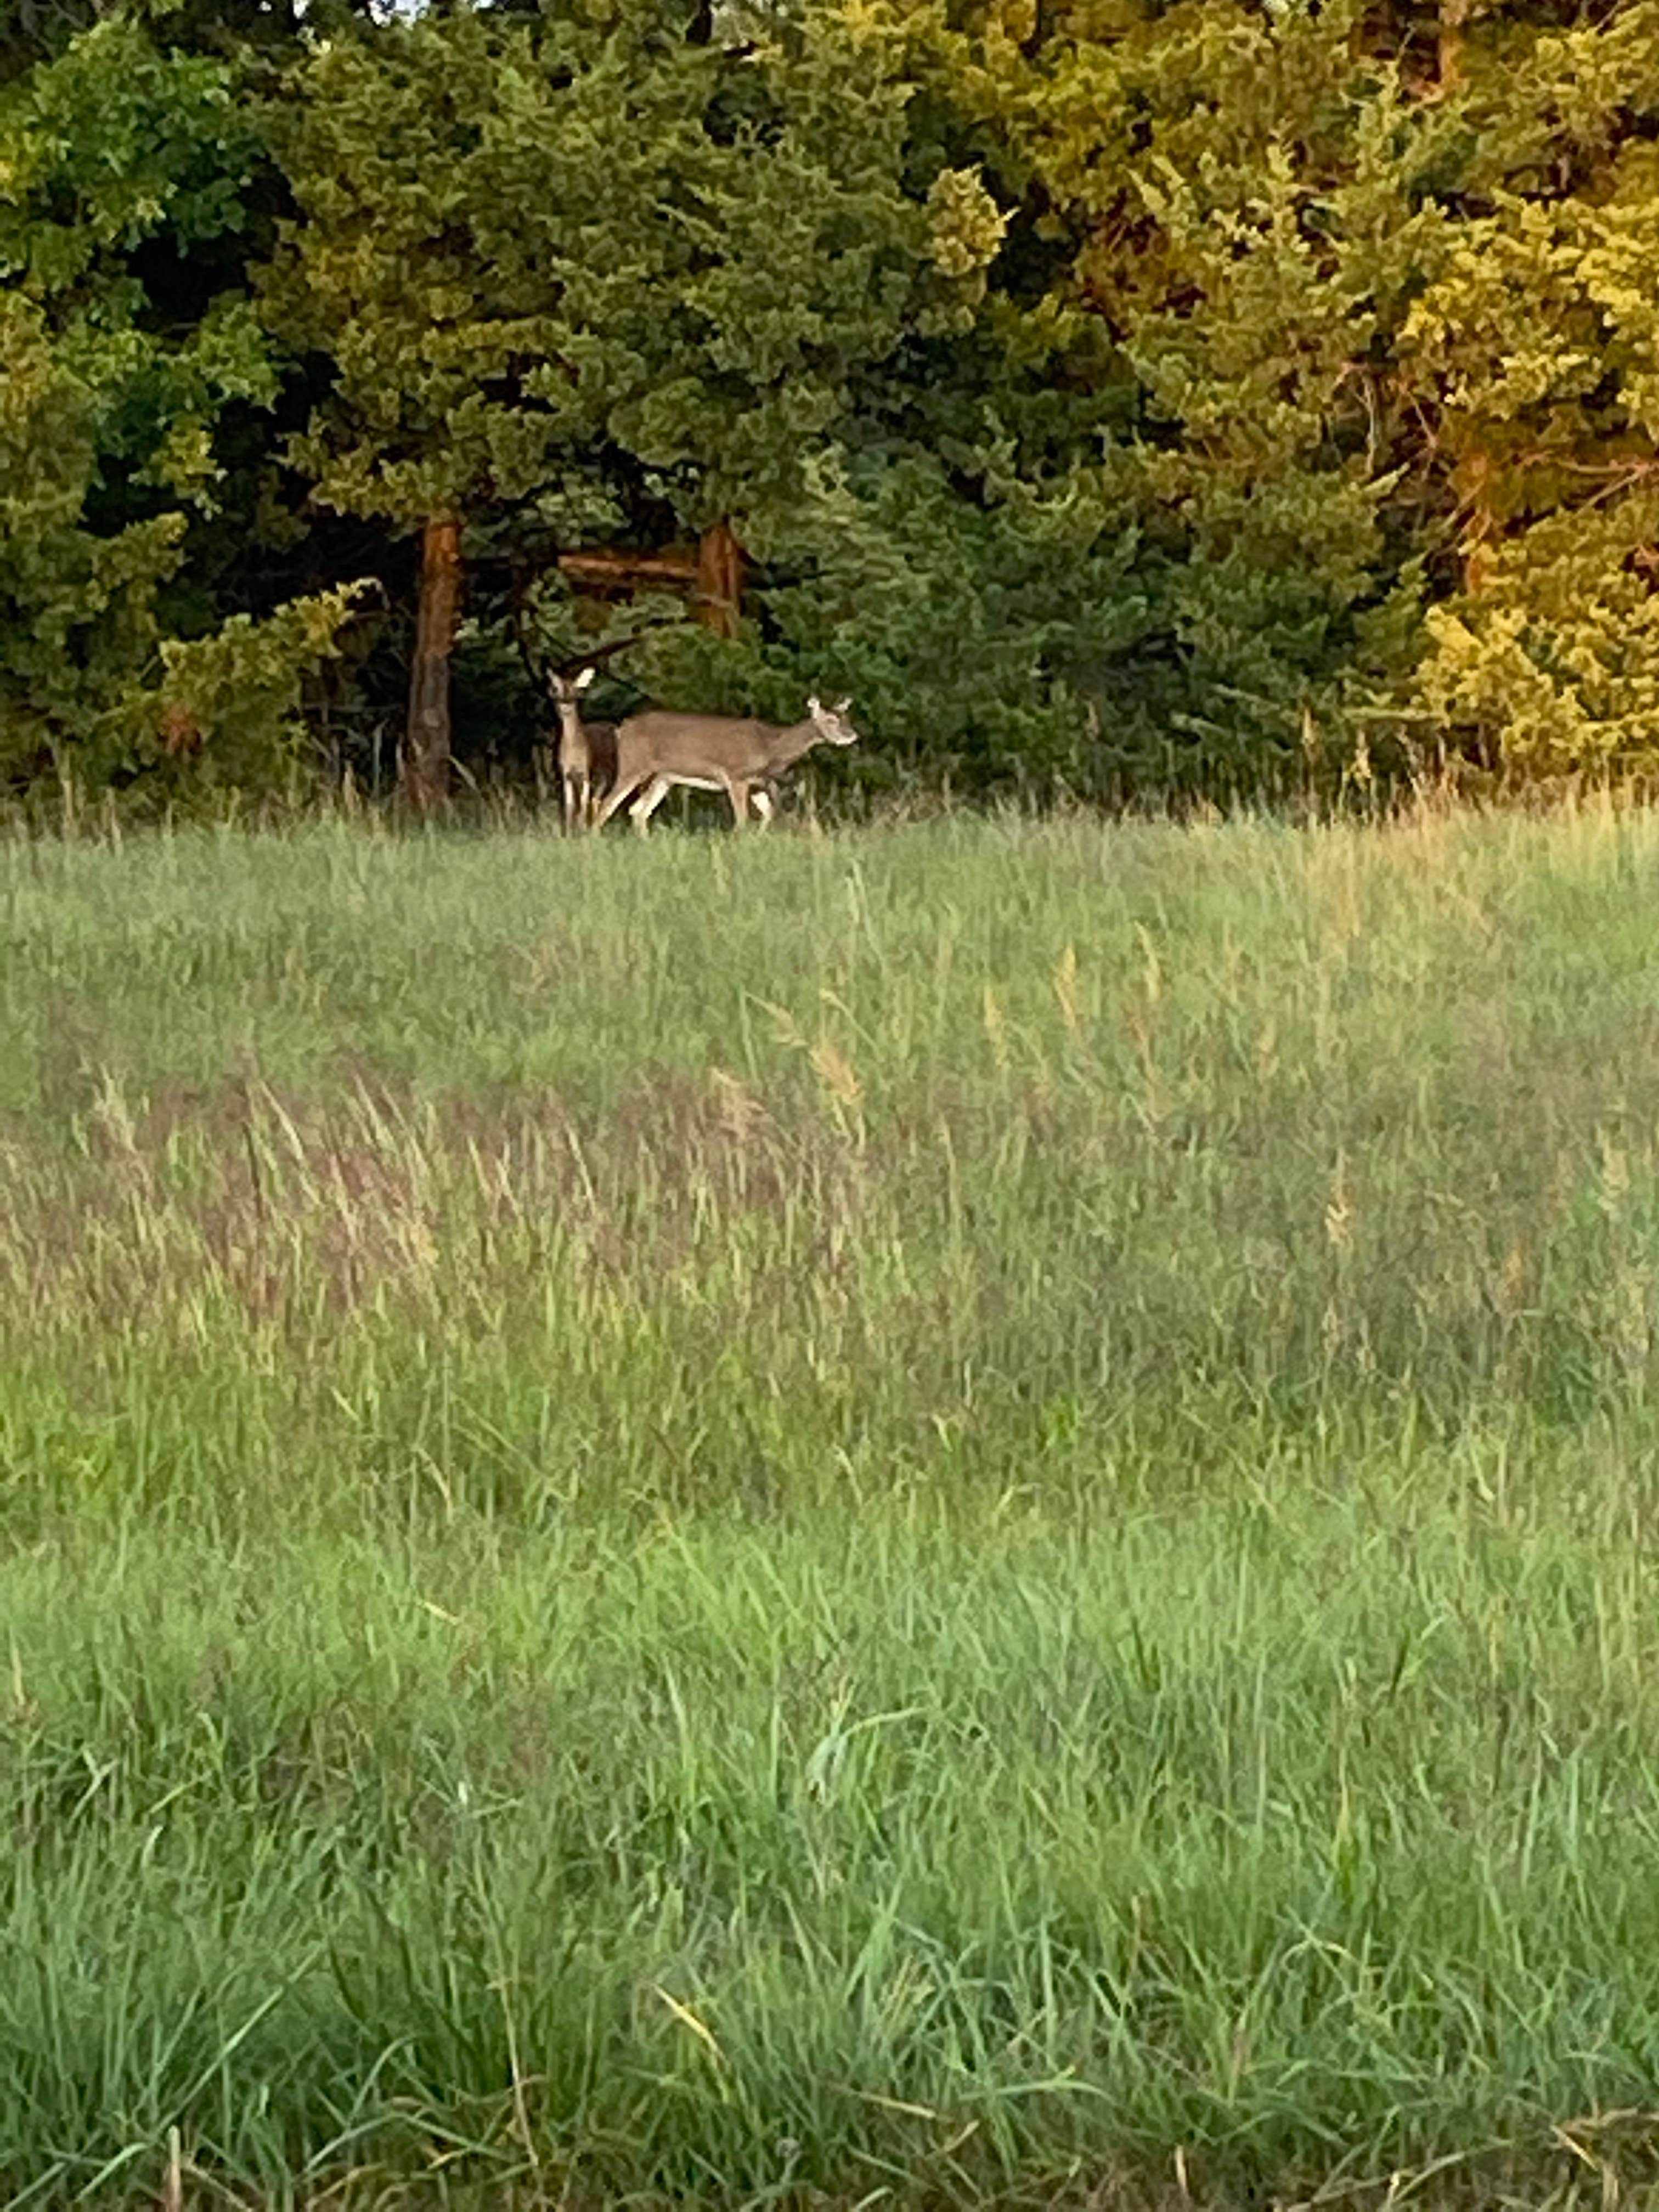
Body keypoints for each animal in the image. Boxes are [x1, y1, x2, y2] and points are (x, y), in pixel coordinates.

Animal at [592, 695, 858, 832]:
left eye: (846, 717)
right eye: (831, 720)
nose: (852, 735)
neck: (770, 747)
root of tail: (622, 729)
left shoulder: (758, 783)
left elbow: (769, 814)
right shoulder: (736, 775)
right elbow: (742, 820)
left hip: (662, 777)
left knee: (638, 811)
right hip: (633, 766)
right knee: (607, 804)